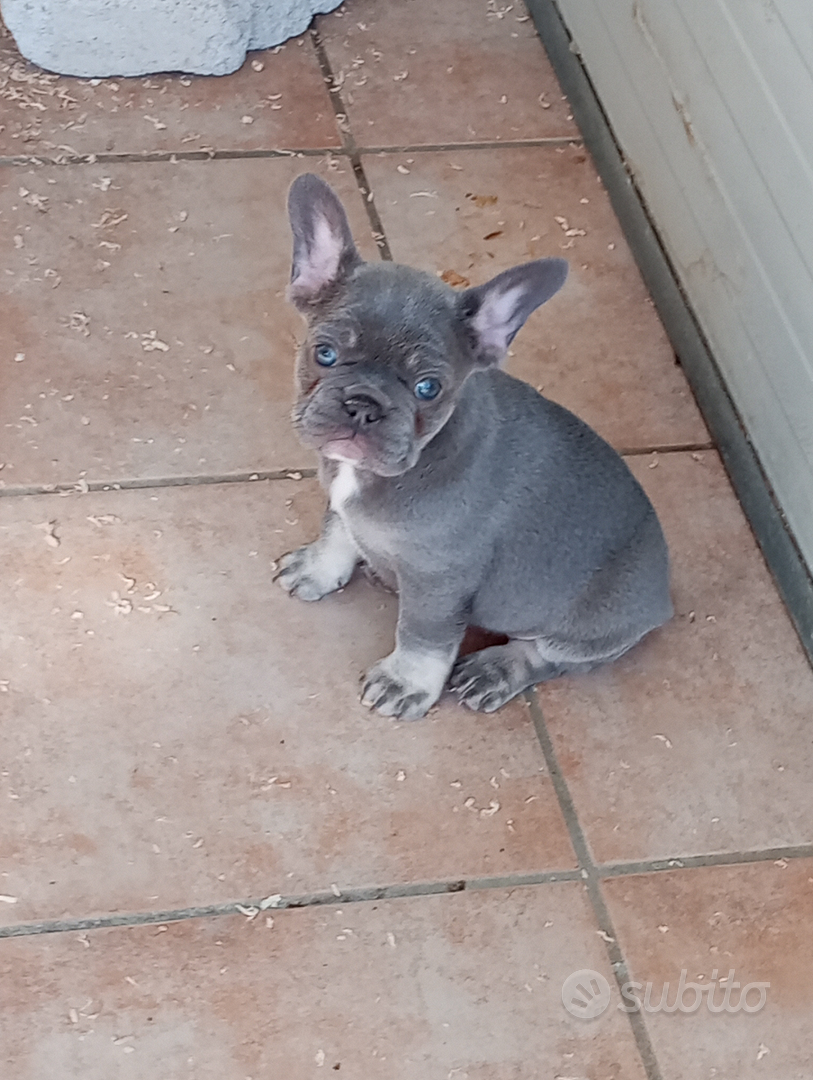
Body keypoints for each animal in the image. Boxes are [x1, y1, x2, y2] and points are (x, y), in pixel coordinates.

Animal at [276, 174, 669, 717]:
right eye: (325, 353)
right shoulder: (340, 499)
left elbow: (423, 638)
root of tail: (665, 592)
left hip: (591, 626)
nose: (363, 405)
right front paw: (320, 566)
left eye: (428, 388)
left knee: (546, 655)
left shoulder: (440, 581)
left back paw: (495, 670)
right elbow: (337, 529)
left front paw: (405, 682)